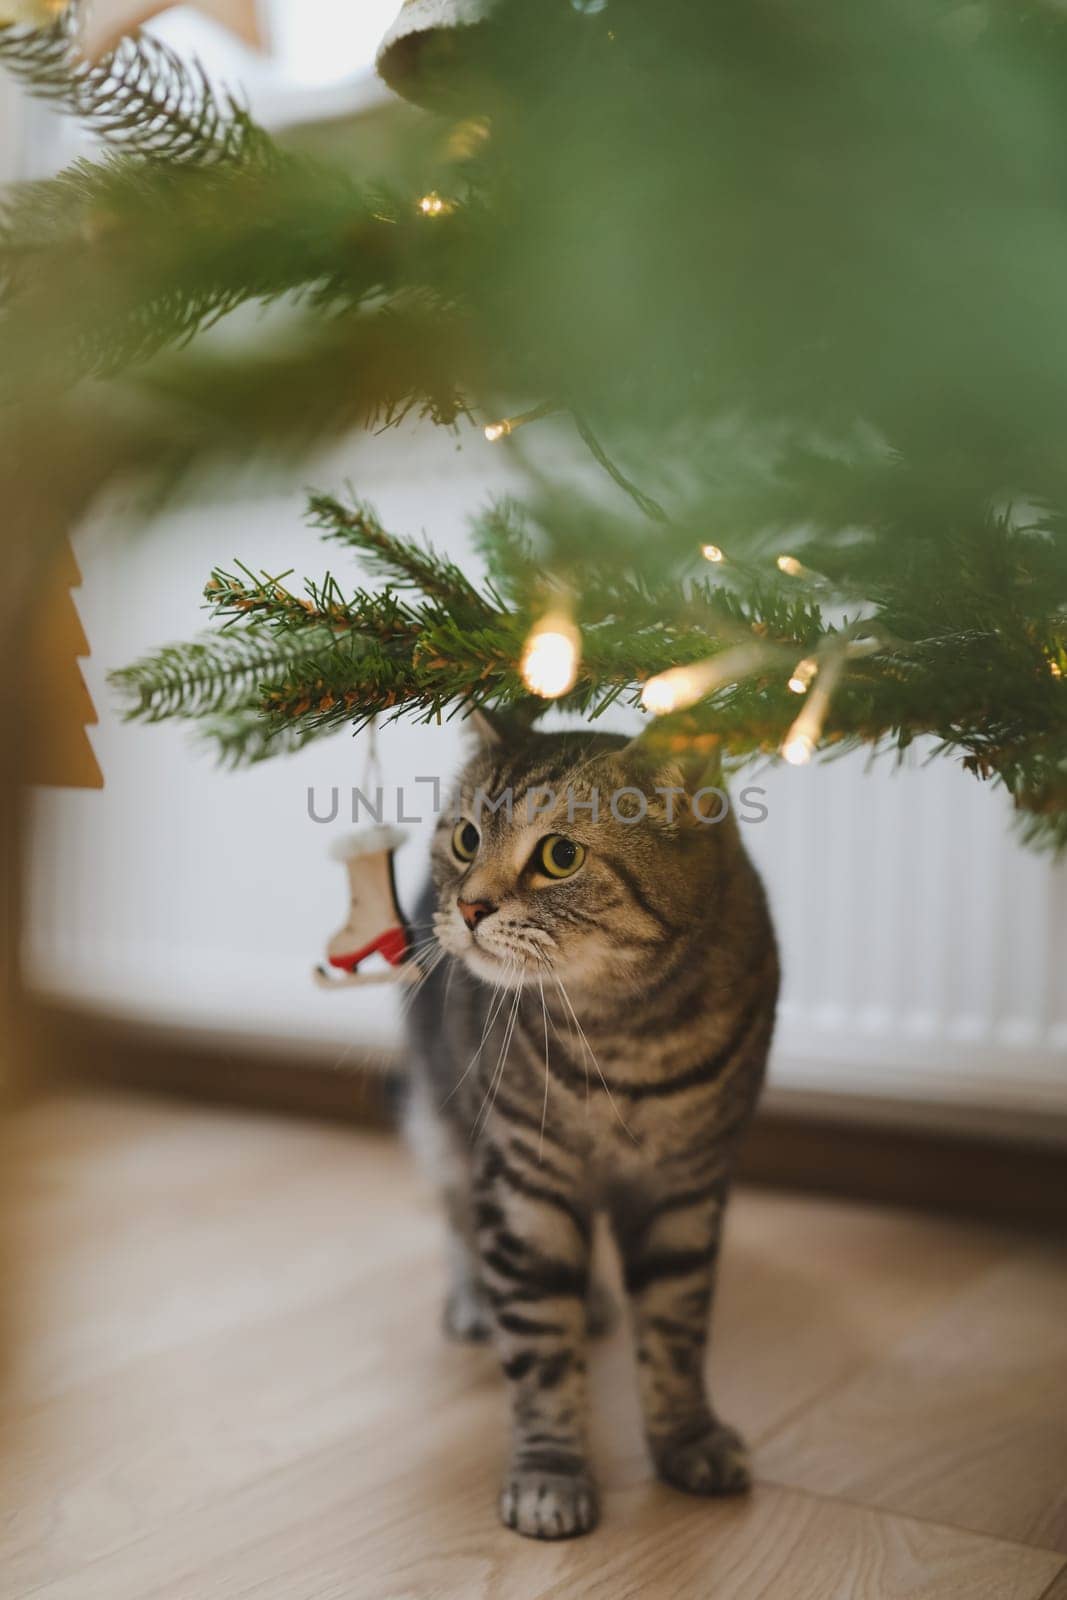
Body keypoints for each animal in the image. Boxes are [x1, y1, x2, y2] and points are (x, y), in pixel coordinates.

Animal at [404, 726, 780, 1536]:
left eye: (559, 857)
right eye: (467, 837)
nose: (470, 906)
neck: (621, 1036)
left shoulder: (686, 1186)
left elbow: (675, 1328)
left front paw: (687, 1439)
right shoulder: (523, 1180)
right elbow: (541, 1344)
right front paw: (551, 1471)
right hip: (441, 1117)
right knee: (457, 1215)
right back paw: (476, 1301)